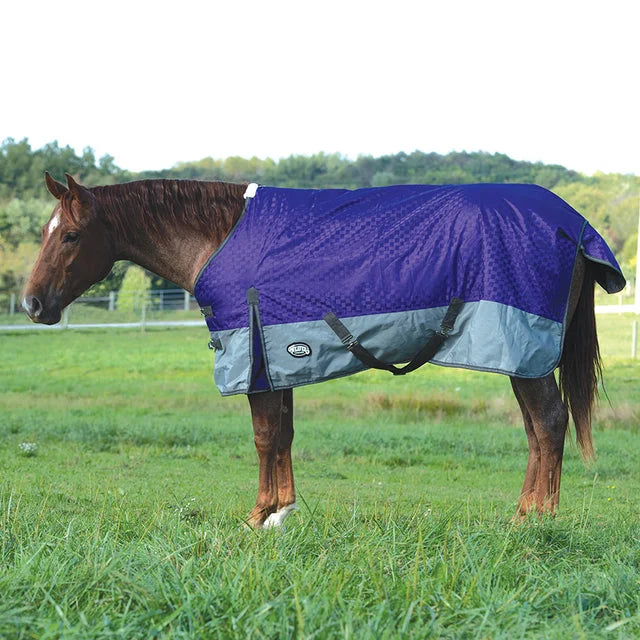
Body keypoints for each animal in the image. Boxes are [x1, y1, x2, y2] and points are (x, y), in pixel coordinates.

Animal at [23, 173, 625, 528]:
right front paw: (282, 515)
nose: (32, 304)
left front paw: (258, 518)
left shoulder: (253, 358)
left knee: (549, 422)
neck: (221, 238)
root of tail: (575, 225)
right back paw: (526, 511)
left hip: (524, 352)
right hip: (520, 356)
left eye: (70, 235)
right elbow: (284, 434)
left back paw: (535, 520)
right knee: (538, 428)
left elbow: (265, 437)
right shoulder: (277, 358)